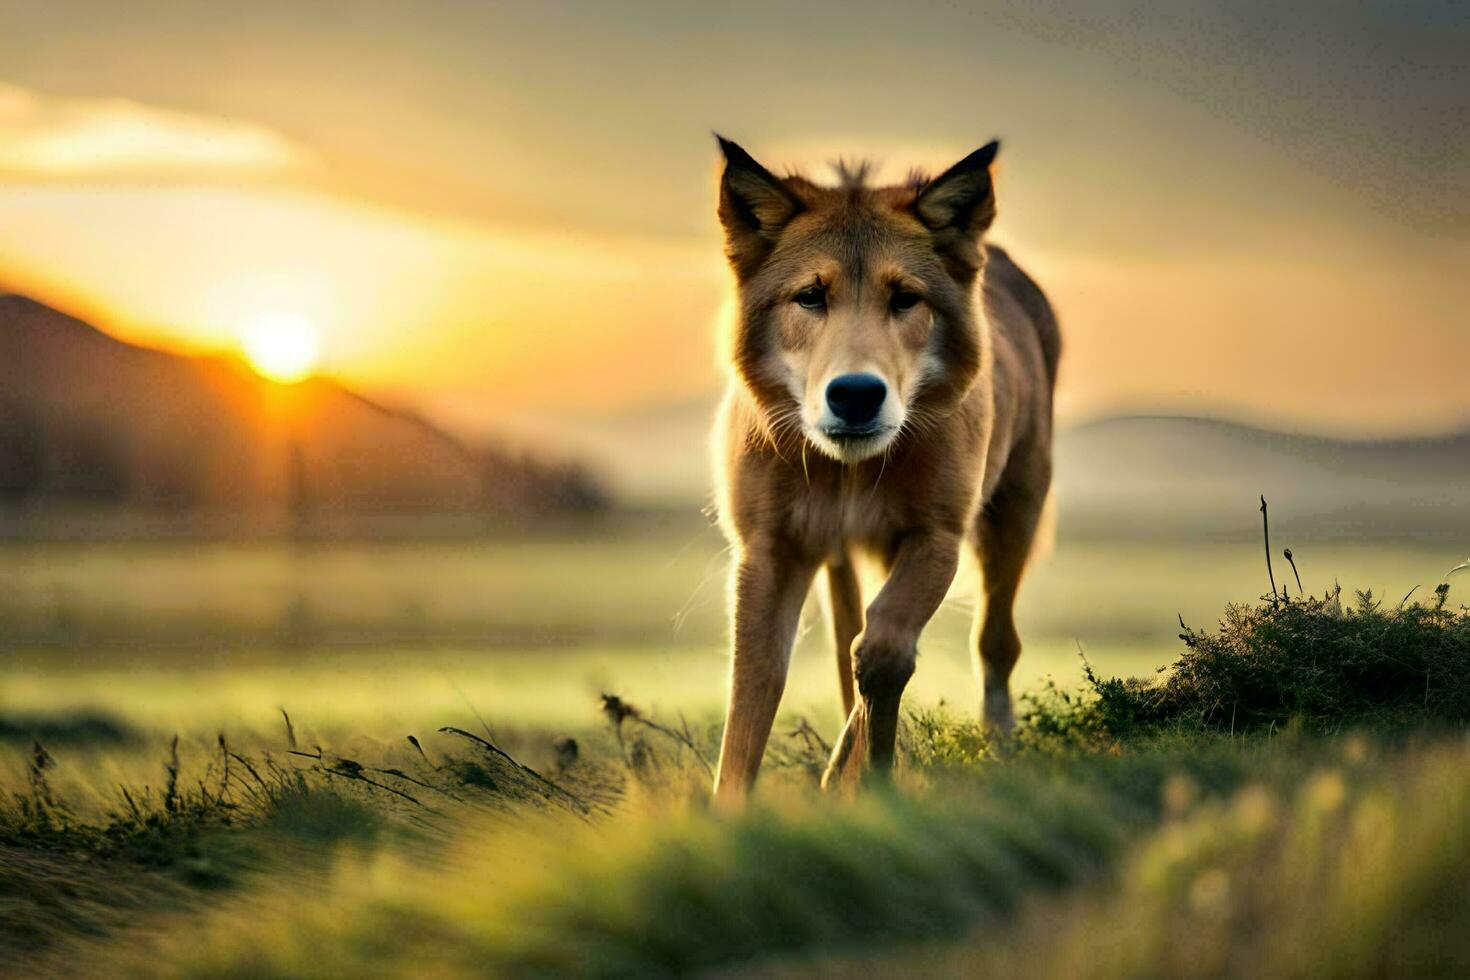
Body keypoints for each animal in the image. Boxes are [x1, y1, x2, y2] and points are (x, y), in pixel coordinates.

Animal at [708, 134, 1058, 805]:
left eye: (905, 299)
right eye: (810, 296)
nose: (856, 393)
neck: (848, 470)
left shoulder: (937, 538)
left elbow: (885, 650)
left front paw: (868, 782)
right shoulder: (770, 550)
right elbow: (751, 693)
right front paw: (728, 815)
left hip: (1016, 513)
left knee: (995, 641)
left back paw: (996, 746)